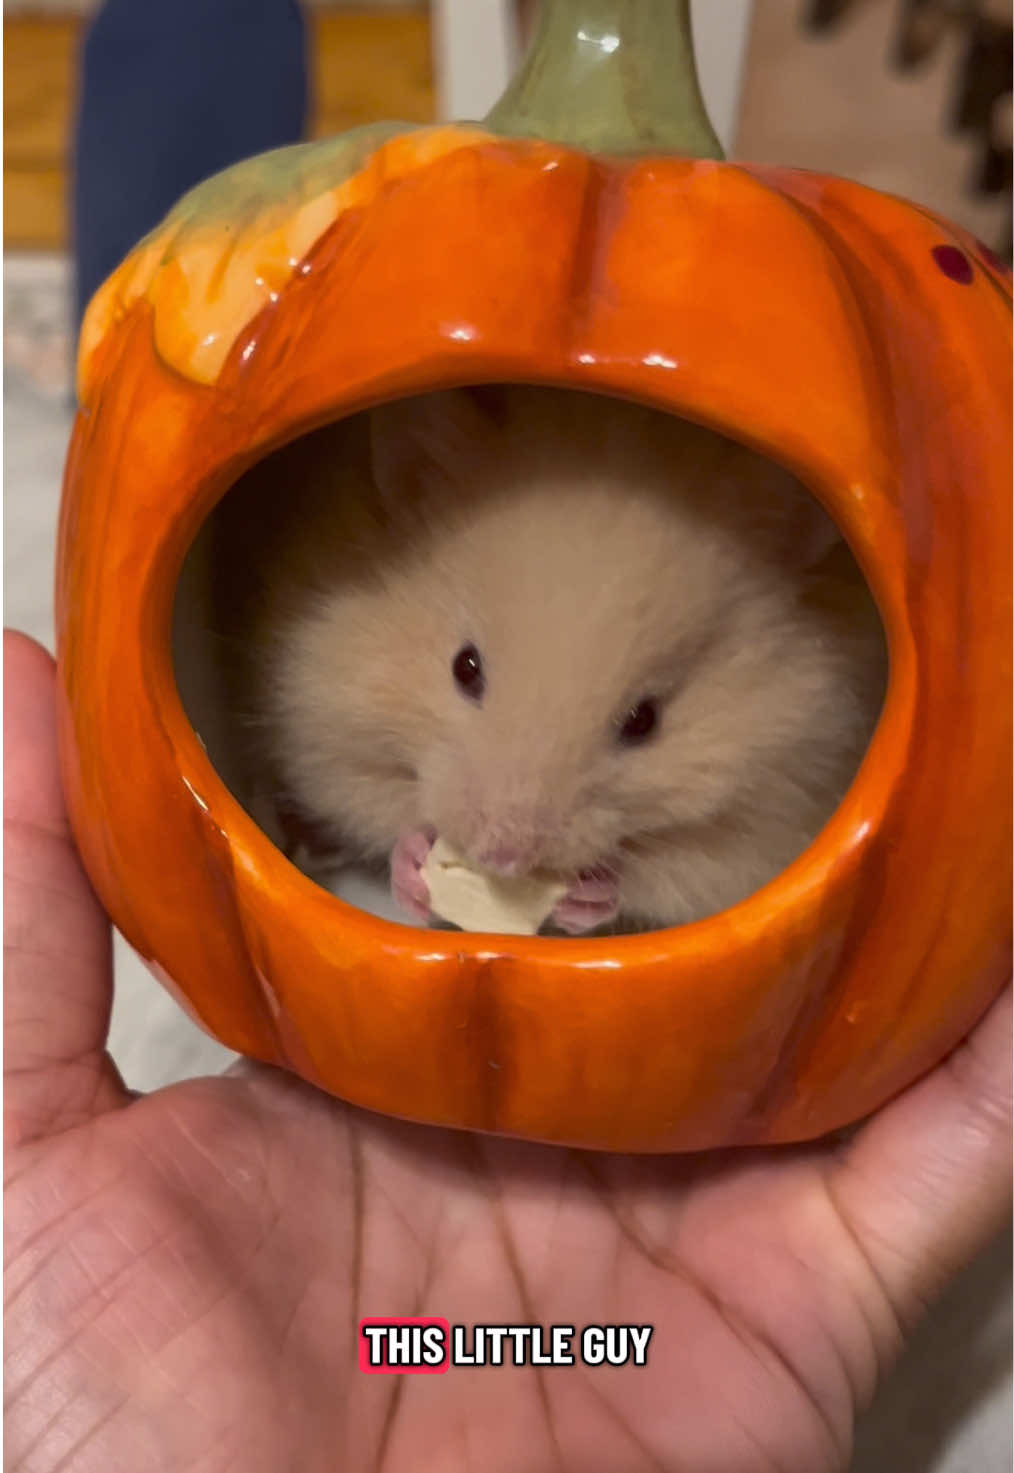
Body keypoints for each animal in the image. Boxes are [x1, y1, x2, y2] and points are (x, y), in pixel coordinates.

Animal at [213, 385, 887, 934]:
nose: (501, 856)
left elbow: (669, 874)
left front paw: (583, 897)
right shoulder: (320, 714)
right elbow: (375, 803)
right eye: (464, 667)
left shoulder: (777, 810)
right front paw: (415, 867)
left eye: (645, 721)